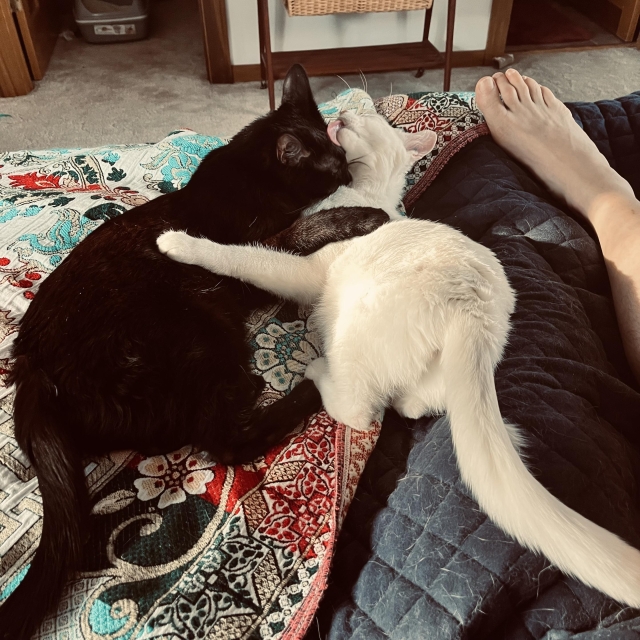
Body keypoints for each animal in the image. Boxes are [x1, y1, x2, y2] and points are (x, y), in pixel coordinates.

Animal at [0, 65, 384, 640]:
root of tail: (33, 373)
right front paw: (362, 214)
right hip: (197, 329)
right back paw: (308, 388)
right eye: (332, 163)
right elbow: (308, 226)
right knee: (226, 439)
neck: (248, 177)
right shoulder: (263, 248)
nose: (346, 167)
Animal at [158, 112, 640, 608]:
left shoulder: (299, 263)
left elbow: (245, 257)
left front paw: (179, 243)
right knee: (410, 404)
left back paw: (318, 372)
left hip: (354, 324)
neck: (365, 194)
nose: (341, 115)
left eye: (368, 117)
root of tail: (475, 312)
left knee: (359, 409)